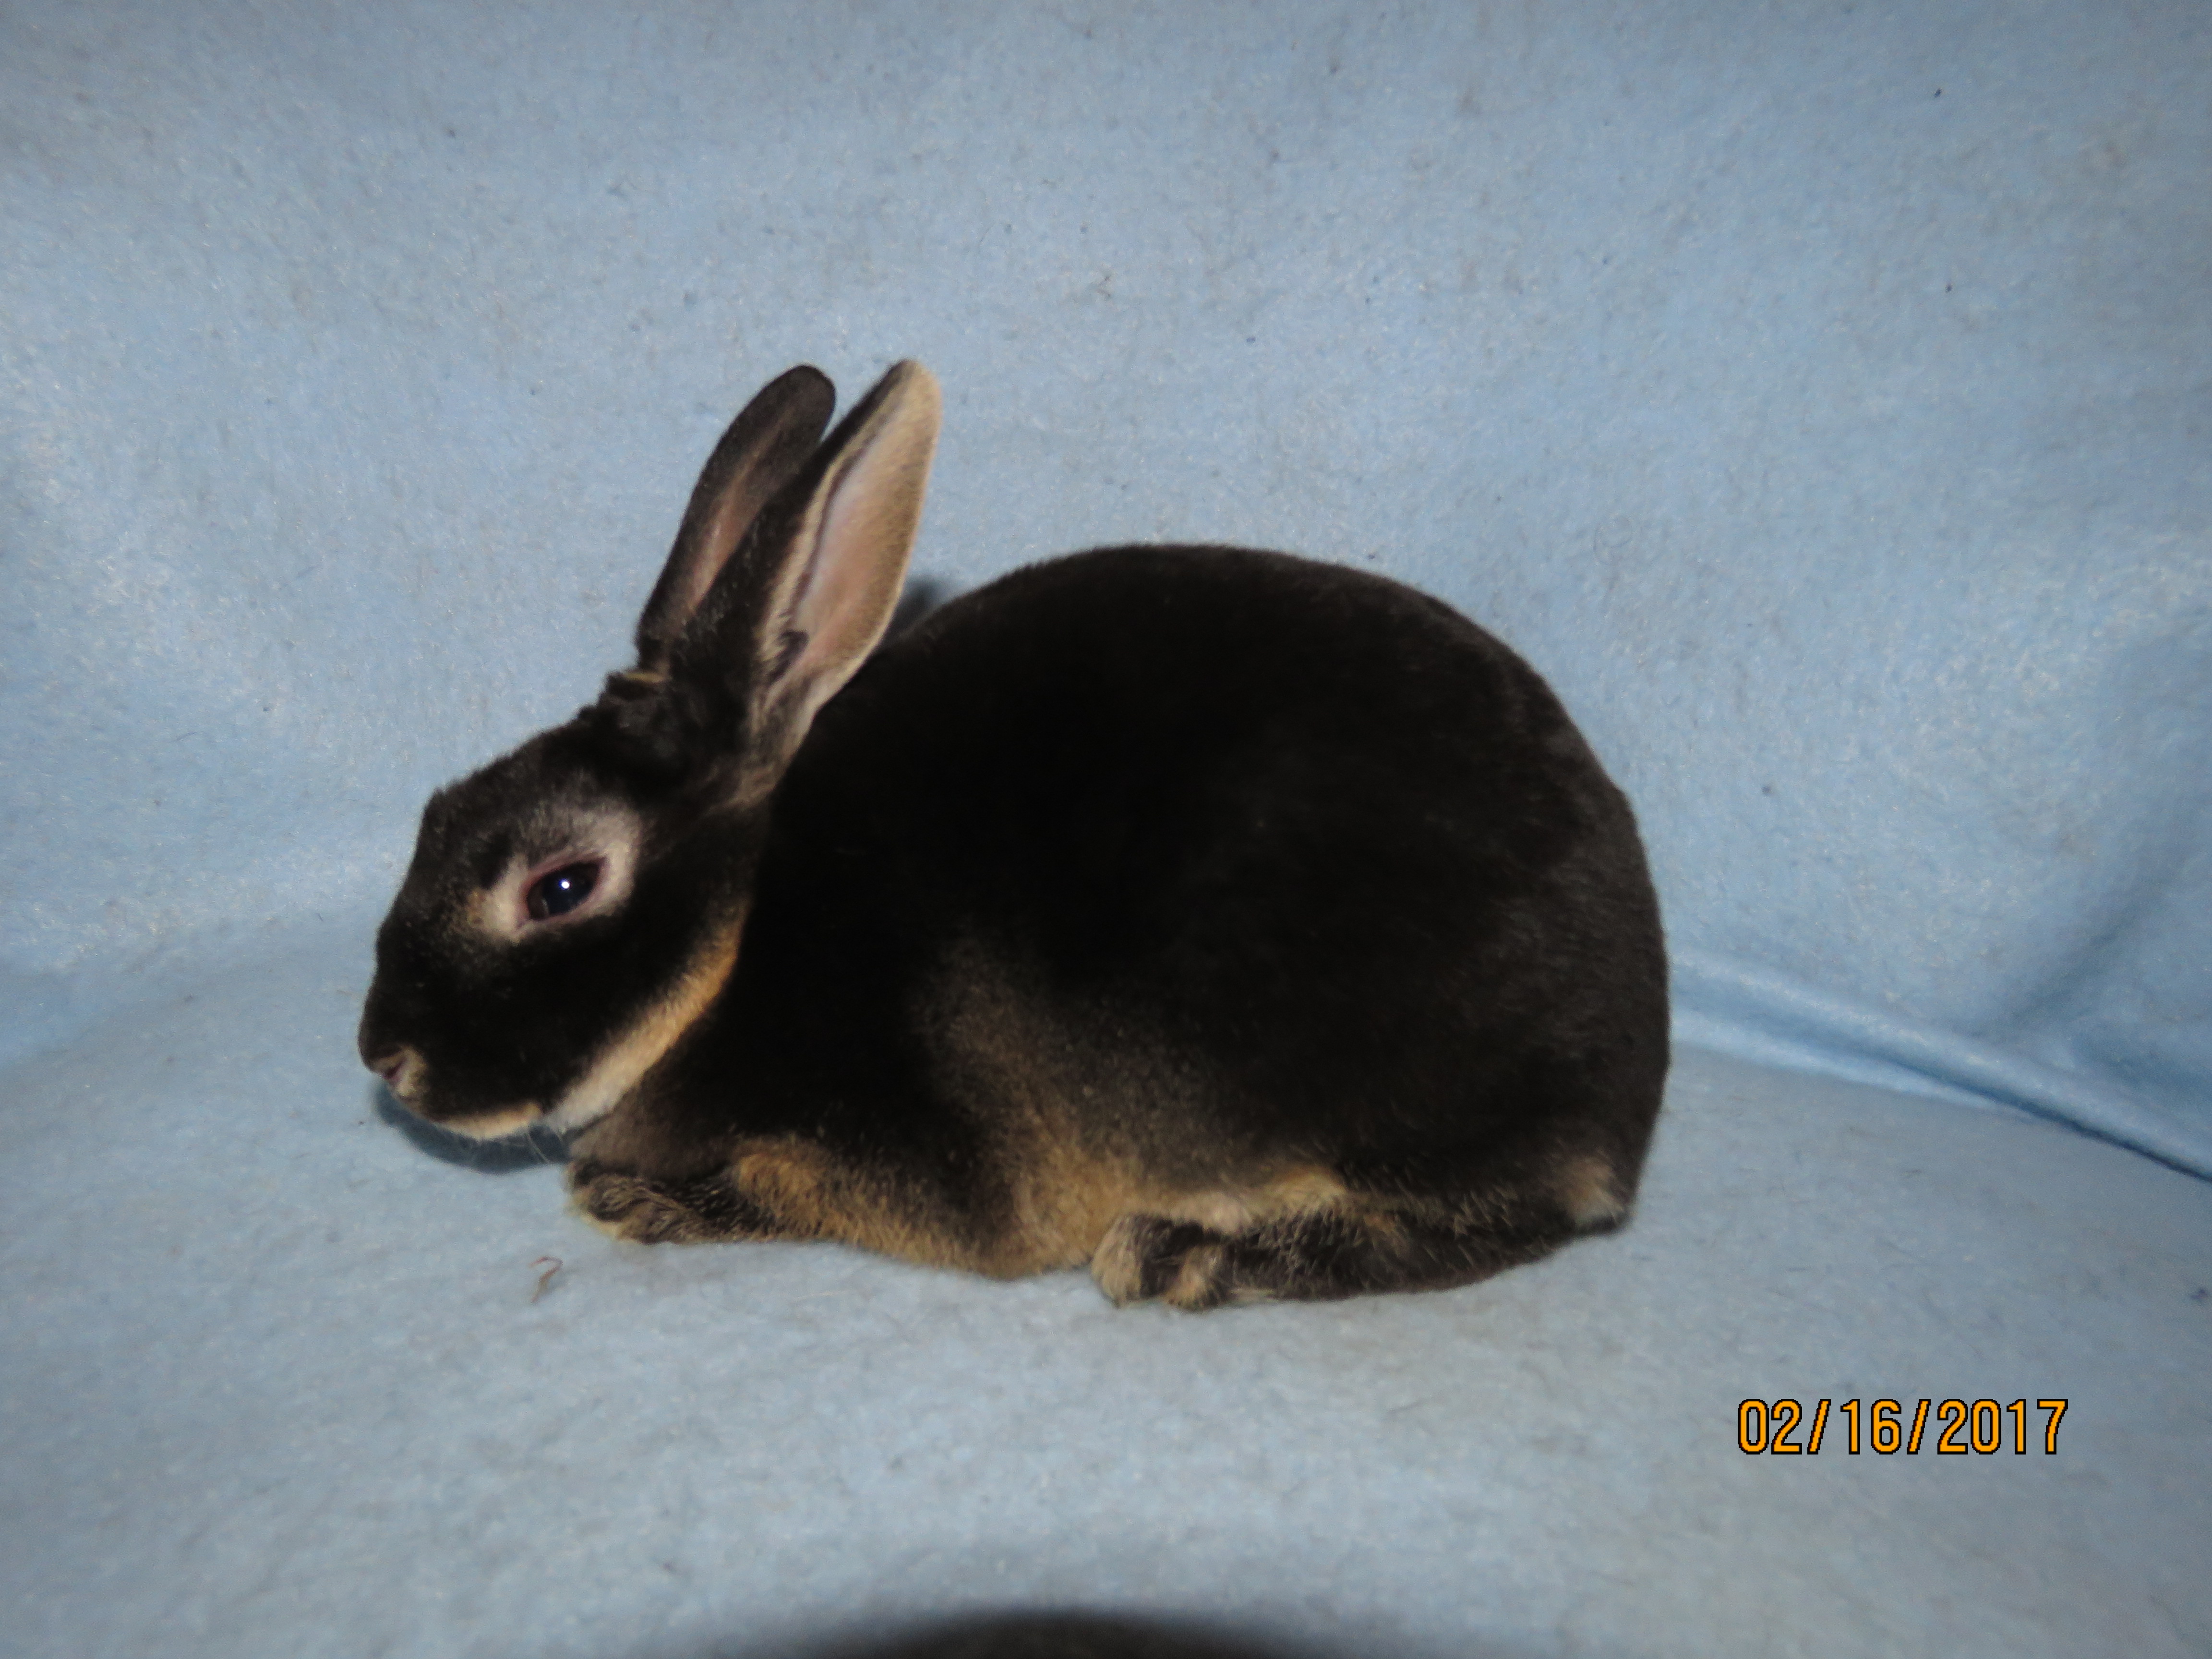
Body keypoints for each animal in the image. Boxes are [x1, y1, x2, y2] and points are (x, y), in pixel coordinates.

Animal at [359, 360, 1669, 1310]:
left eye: (560, 885)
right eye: (435, 813)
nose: (383, 1055)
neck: (740, 943)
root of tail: (1627, 1078)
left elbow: (778, 1182)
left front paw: (631, 1198)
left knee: (1506, 1213)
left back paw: (1186, 1252)